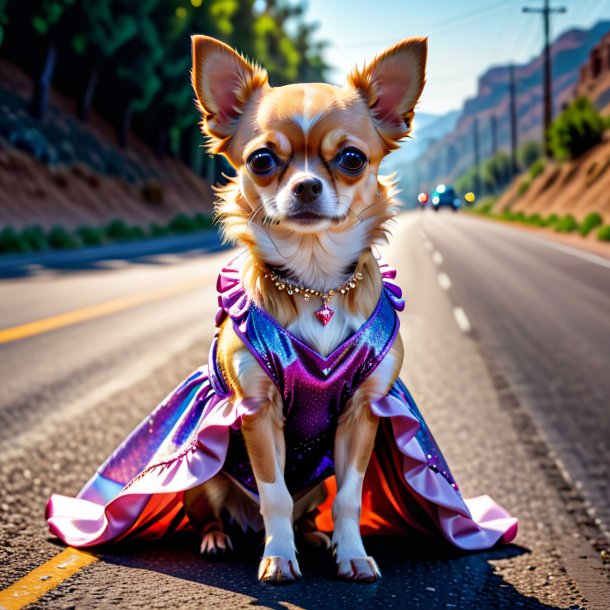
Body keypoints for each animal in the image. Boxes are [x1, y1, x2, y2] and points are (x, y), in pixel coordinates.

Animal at [186, 34, 428, 584]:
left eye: (352, 158)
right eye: (261, 160)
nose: (306, 185)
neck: (314, 283)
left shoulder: (363, 411)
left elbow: (350, 498)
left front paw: (353, 554)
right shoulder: (257, 411)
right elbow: (273, 494)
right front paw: (278, 558)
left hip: (317, 482)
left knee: (311, 509)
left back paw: (316, 537)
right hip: (203, 470)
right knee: (217, 510)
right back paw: (218, 538)